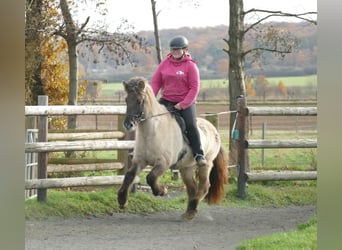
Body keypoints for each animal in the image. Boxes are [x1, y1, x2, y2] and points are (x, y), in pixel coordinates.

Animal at [118, 77, 230, 220]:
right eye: (127, 100)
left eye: (139, 100)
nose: (128, 124)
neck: (152, 132)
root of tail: (213, 129)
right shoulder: (140, 160)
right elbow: (129, 175)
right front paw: (122, 200)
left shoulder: (164, 163)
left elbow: (150, 177)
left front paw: (162, 191)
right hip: (186, 168)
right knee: (192, 188)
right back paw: (189, 212)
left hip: (206, 164)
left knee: (204, 186)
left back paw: (192, 209)